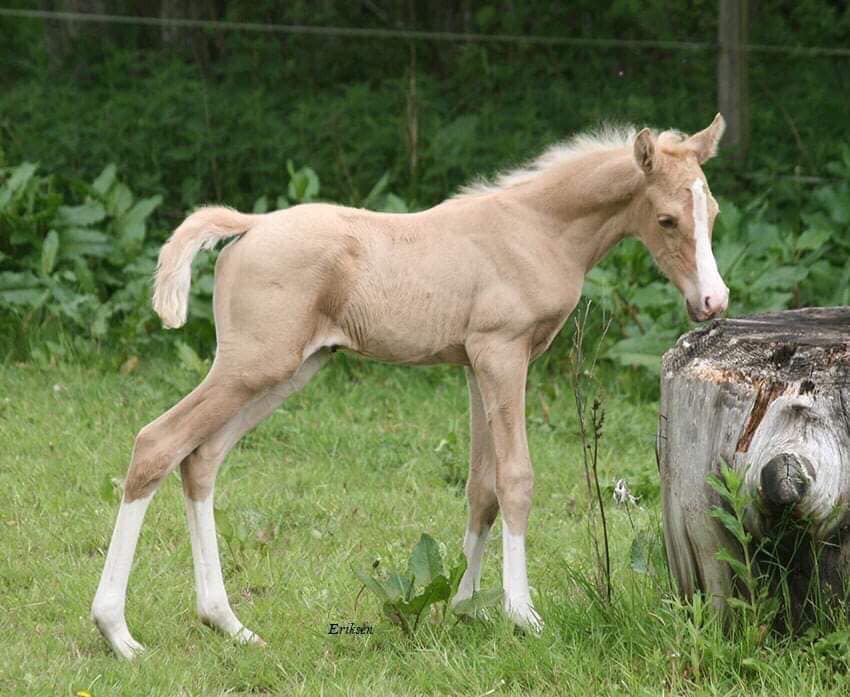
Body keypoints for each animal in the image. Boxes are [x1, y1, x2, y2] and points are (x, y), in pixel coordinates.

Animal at [94, 114, 728, 656]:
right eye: (667, 219)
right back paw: (118, 632)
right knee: (157, 443)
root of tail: (251, 225)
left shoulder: (475, 364)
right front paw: (523, 614)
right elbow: (516, 479)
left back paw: (228, 624)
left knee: (201, 458)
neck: (536, 229)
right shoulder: (502, 354)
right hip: (251, 366)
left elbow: (482, 488)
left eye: (714, 212)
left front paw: (467, 608)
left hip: (286, 371)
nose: (712, 302)